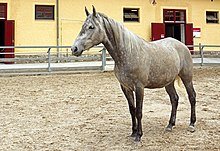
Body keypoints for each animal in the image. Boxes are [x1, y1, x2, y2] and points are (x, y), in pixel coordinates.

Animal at [71, 6, 197, 143]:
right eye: (83, 26)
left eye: (91, 27)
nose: (74, 48)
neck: (128, 52)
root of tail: (182, 45)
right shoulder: (126, 87)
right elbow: (132, 110)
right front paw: (133, 132)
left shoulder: (139, 87)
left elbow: (139, 111)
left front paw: (139, 136)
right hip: (168, 82)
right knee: (174, 99)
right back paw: (170, 125)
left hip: (187, 78)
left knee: (192, 97)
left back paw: (191, 124)